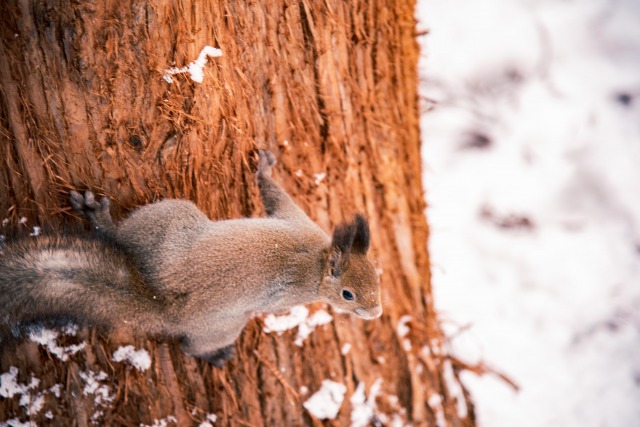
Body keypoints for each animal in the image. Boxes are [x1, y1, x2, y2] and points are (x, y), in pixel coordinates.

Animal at [0, 149, 380, 366]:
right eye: (348, 294)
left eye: (379, 278)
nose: (375, 313)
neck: (317, 264)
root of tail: (163, 304)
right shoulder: (297, 221)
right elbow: (275, 194)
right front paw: (265, 169)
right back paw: (100, 216)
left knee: (189, 347)